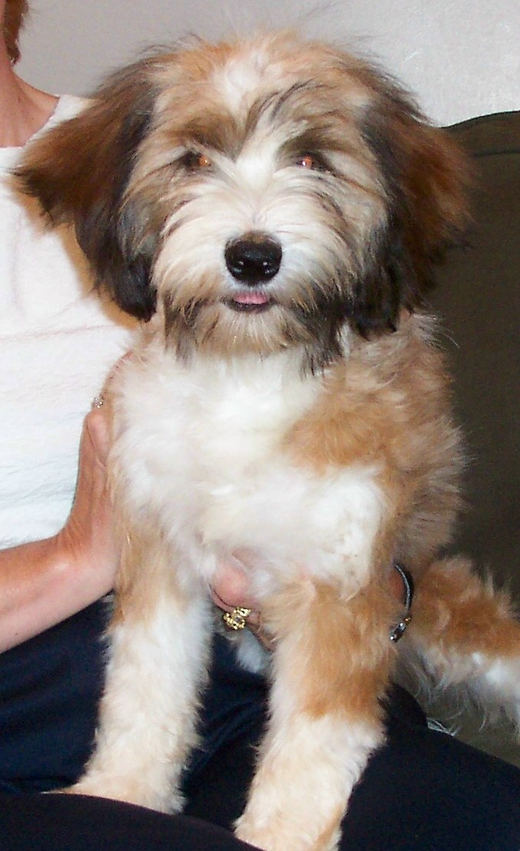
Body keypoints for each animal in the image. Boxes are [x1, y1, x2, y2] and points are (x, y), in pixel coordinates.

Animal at [16, 31, 520, 851]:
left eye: (311, 159)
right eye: (193, 159)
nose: (253, 256)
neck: (249, 372)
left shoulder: (342, 589)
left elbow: (310, 743)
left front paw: (275, 833)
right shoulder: (159, 556)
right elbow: (143, 693)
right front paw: (119, 792)